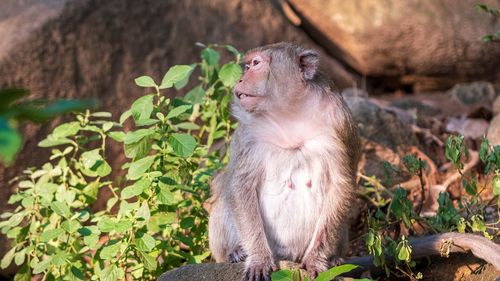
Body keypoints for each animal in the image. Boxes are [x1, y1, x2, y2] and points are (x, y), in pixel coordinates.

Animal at [207, 42, 360, 280]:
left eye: (255, 64)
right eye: (247, 66)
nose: (240, 80)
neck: (290, 114)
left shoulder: (338, 122)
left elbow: (341, 185)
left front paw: (316, 259)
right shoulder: (249, 133)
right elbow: (240, 184)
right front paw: (258, 258)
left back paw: (334, 258)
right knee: (223, 189)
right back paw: (235, 252)